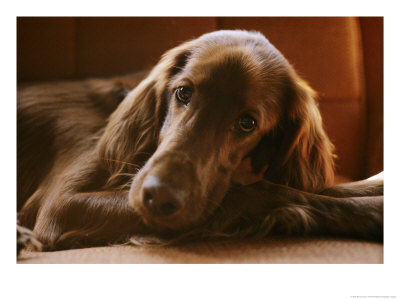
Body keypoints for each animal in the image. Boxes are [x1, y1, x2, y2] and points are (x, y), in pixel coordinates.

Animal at [17, 30, 382, 251]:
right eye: (183, 92)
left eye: (247, 123)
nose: (159, 198)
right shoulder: (61, 205)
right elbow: (259, 193)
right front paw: (372, 210)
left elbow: (312, 188)